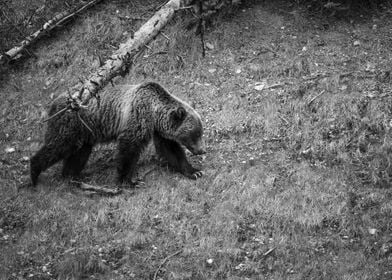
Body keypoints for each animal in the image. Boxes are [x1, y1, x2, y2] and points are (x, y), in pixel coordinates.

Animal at [30, 81, 205, 186]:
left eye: (200, 132)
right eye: (195, 134)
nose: (202, 150)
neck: (153, 112)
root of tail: (54, 102)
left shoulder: (159, 130)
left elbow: (171, 150)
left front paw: (194, 171)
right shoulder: (137, 118)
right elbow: (128, 149)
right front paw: (128, 180)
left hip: (85, 133)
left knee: (79, 153)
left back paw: (72, 176)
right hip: (70, 124)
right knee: (57, 146)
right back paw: (34, 173)